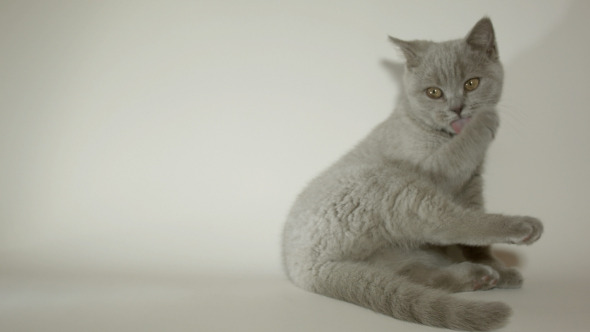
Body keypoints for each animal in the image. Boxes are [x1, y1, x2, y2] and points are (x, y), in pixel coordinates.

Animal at [282, 18, 544, 332]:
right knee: (446, 223)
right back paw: (523, 229)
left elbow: (476, 246)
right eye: (434, 92)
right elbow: (457, 158)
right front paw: (485, 118)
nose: (457, 108)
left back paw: (481, 276)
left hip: (392, 252)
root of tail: (305, 270)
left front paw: (497, 267)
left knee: (415, 273)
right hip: (388, 185)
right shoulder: (432, 169)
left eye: (471, 83)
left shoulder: (472, 187)